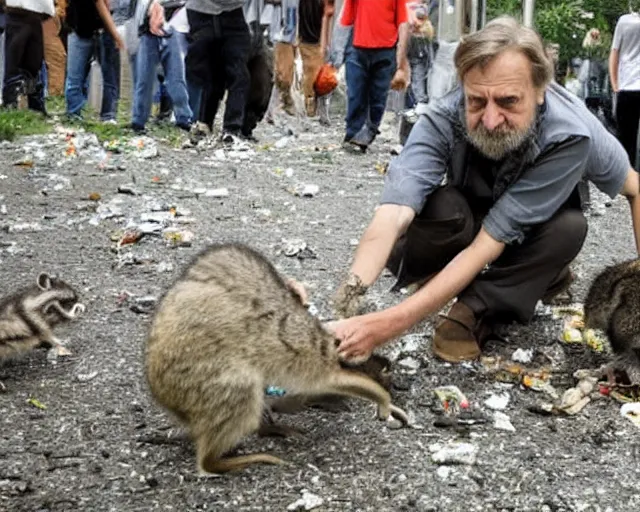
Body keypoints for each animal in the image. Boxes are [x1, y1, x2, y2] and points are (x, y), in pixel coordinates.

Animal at [145, 244, 408, 476]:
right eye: (386, 376)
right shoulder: (315, 356)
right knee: (241, 391)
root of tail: (161, 391)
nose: (392, 384)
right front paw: (383, 400)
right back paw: (215, 460)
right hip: (202, 380)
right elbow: (335, 380)